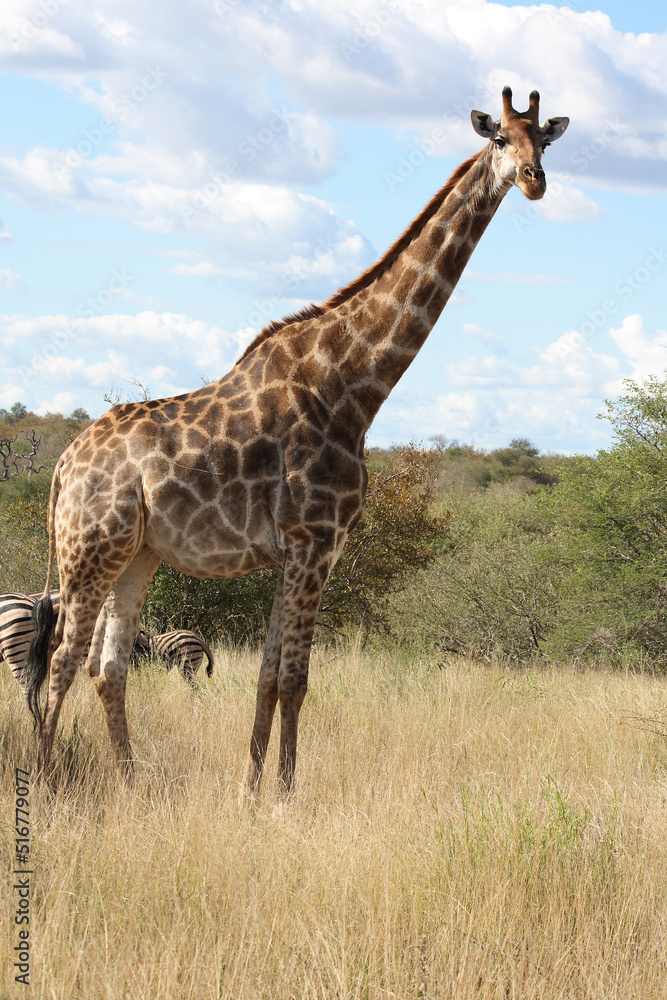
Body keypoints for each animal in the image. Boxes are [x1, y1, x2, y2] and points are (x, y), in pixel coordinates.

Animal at [26, 87, 568, 796]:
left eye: (546, 141)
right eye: (500, 138)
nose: (534, 181)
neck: (353, 385)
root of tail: (63, 463)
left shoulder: (305, 551)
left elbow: (269, 677)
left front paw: (254, 789)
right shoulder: (312, 541)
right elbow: (293, 679)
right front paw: (284, 793)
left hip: (137, 555)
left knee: (106, 666)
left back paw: (133, 784)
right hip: (89, 549)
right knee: (63, 659)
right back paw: (43, 782)